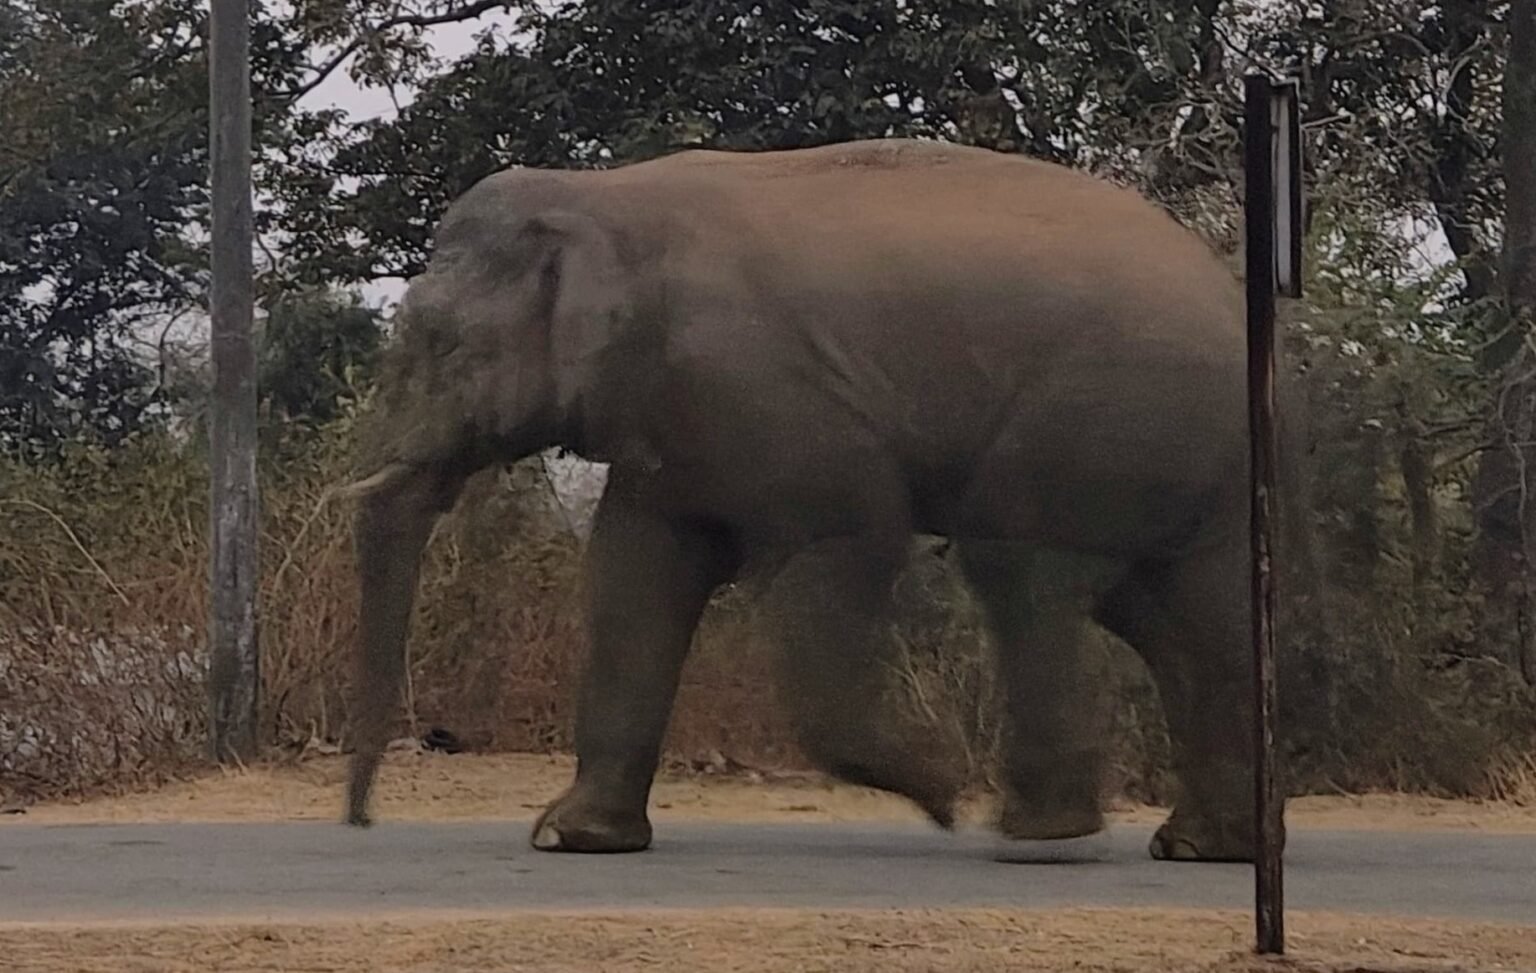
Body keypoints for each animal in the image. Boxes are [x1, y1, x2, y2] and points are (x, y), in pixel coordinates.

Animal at [342, 136, 1279, 863]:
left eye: (441, 346)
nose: (360, 819)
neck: (603, 196)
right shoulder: (673, 421)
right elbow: (632, 574)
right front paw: (573, 839)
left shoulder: (768, 390)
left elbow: (855, 531)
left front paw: (941, 789)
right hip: (1169, 456)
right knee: (1171, 614)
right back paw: (1202, 845)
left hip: (1094, 418)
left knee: (1025, 570)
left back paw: (1039, 833)